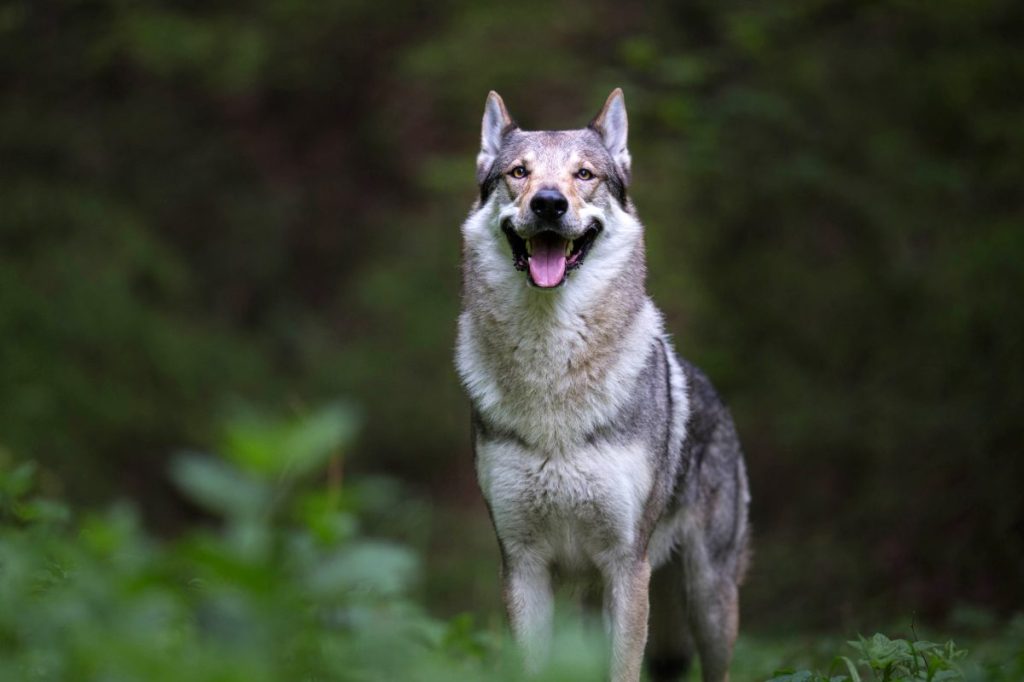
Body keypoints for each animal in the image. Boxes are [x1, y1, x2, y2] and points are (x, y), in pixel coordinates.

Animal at [456, 90, 753, 679]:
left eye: (585, 174)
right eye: (519, 173)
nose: (549, 203)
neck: (552, 374)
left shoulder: (626, 565)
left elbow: (625, 669)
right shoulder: (522, 565)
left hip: (707, 599)